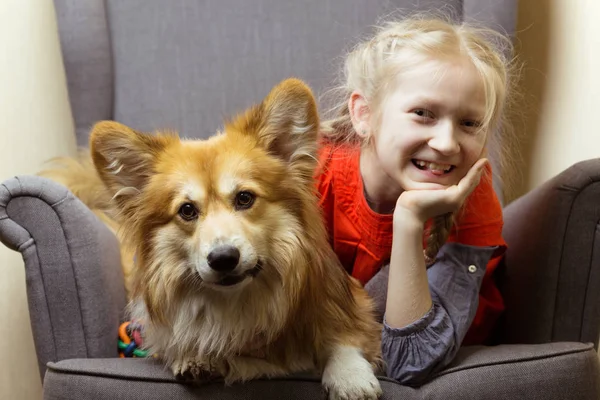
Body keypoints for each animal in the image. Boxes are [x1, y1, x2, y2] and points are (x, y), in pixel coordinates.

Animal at [43, 79, 384, 400]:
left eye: (245, 198)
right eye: (187, 210)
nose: (223, 259)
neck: (239, 302)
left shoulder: (352, 306)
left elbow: (343, 338)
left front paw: (350, 377)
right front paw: (195, 356)